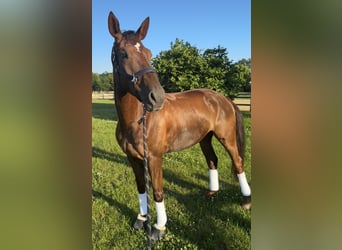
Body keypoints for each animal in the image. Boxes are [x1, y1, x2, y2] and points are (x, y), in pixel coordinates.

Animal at [108, 11, 250, 240]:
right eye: (123, 54)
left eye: (149, 53)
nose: (157, 97)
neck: (137, 121)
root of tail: (223, 98)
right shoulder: (133, 158)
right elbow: (141, 188)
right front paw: (141, 219)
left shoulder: (154, 158)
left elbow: (157, 191)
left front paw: (159, 228)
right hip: (205, 138)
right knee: (212, 160)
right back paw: (211, 193)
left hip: (226, 137)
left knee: (237, 162)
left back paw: (246, 200)